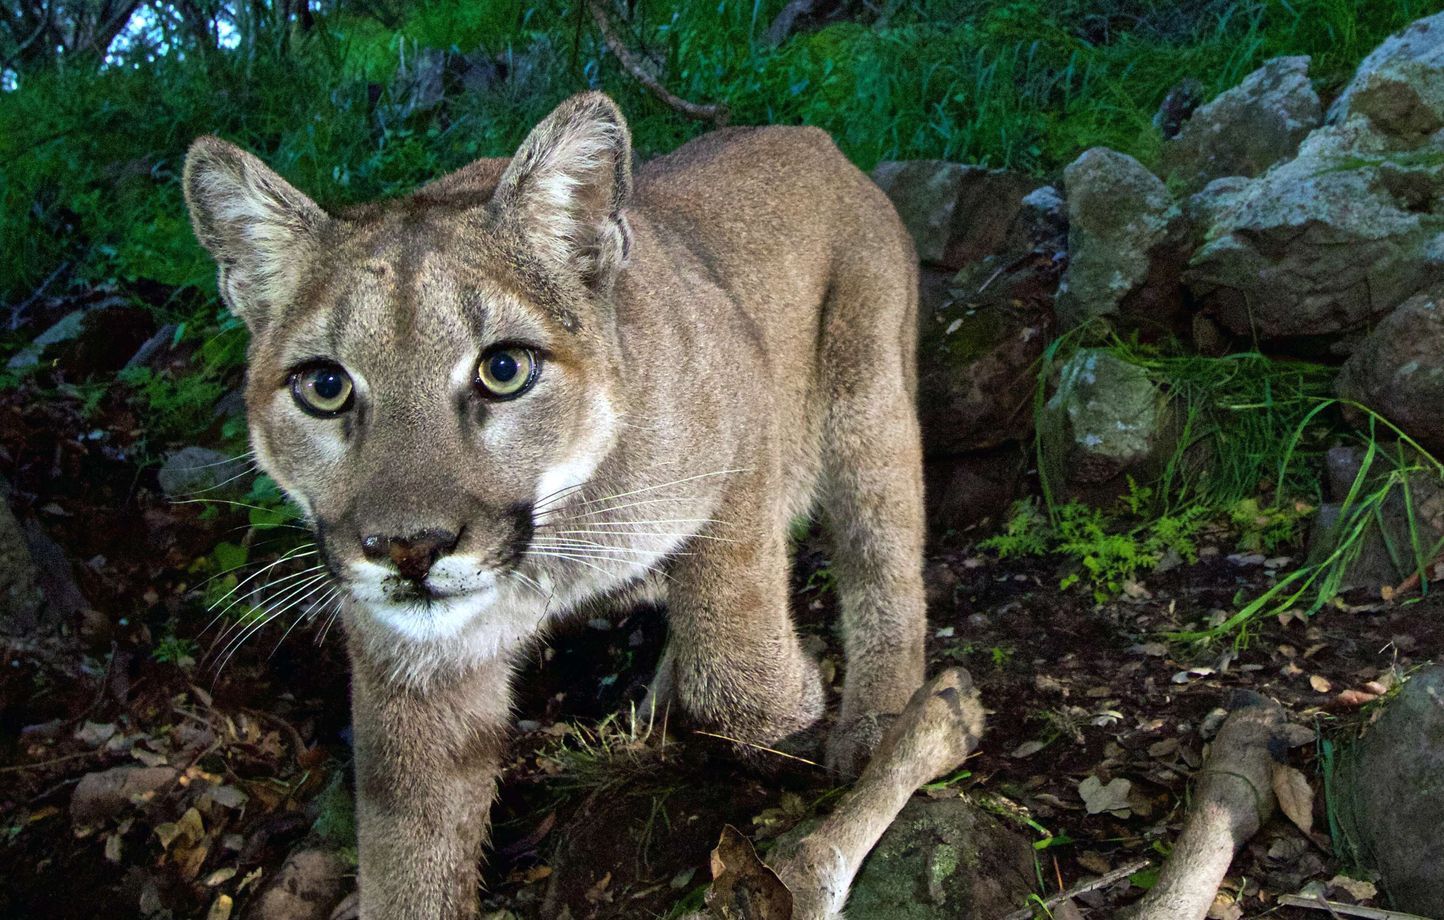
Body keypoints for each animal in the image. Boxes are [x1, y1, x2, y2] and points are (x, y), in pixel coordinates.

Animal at [183, 89, 924, 912]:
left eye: (504, 369)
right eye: (324, 386)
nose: (409, 549)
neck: (551, 545)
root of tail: (811, 135)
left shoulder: (744, 414)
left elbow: (732, 646)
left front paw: (788, 716)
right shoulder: (410, 663)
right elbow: (410, 851)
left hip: (867, 402)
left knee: (886, 563)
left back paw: (877, 722)